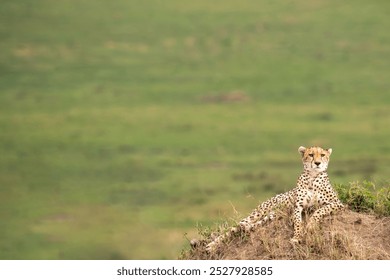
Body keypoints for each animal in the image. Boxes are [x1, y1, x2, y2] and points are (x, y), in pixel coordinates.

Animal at [206, 145, 342, 253]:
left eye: (322, 155)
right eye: (311, 155)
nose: (317, 163)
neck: (313, 177)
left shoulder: (337, 203)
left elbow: (319, 210)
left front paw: (311, 225)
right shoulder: (298, 207)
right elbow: (298, 223)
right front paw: (297, 237)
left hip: (273, 215)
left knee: (247, 226)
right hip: (258, 214)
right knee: (233, 228)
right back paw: (211, 246)